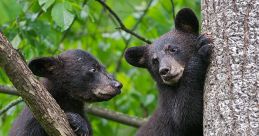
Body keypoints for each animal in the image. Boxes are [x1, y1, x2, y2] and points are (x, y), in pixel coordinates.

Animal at [125, 8, 212, 136]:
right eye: (154, 61)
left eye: (173, 49)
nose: (164, 70)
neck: (176, 86)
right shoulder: (169, 108)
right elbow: (188, 117)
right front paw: (201, 50)